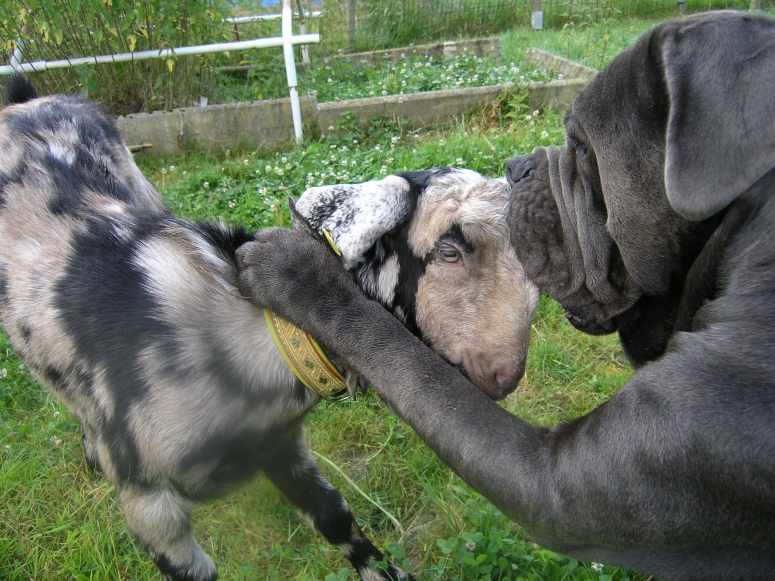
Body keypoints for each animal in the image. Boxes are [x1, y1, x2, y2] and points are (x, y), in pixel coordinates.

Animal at [0, 77, 538, 580]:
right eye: (448, 249)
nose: (505, 374)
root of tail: (25, 101)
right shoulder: (150, 508)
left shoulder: (281, 447)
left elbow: (337, 520)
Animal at [235, 11, 775, 580]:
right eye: (449, 249)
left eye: (583, 149)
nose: (517, 167)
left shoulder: (559, 479)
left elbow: (400, 355)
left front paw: (294, 270)